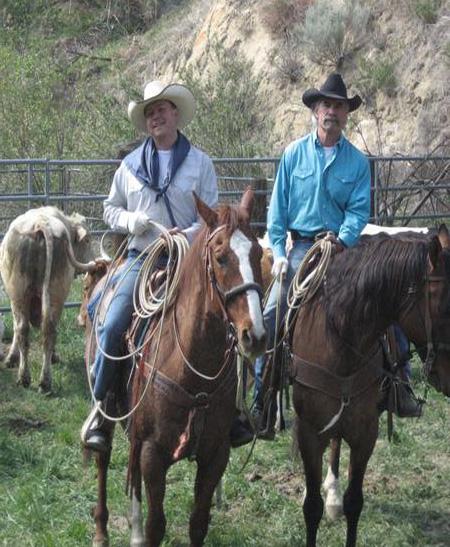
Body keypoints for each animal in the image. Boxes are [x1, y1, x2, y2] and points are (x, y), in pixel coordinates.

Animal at [0, 208, 97, 392]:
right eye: (88, 240)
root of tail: (41, 223)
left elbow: (16, 327)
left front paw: (11, 358)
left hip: (20, 293)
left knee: (25, 328)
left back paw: (26, 378)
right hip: (53, 295)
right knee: (47, 329)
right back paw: (44, 380)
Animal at [85, 189, 266, 547]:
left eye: (256, 253)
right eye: (221, 257)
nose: (253, 335)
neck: (194, 370)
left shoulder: (215, 454)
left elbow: (198, 522)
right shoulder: (153, 454)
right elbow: (157, 524)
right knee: (103, 457)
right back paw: (101, 530)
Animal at [286, 227, 450, 547]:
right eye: (446, 306)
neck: (340, 340)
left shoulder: (366, 434)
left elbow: (354, 502)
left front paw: (340, 500)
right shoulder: (310, 433)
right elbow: (311, 507)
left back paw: (333, 494)